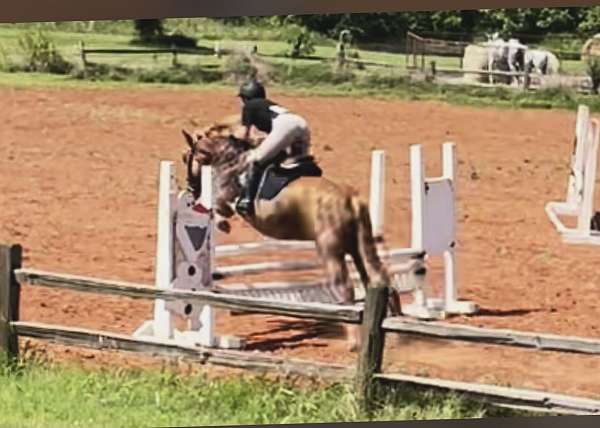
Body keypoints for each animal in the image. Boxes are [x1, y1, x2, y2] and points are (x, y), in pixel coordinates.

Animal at [178, 120, 404, 352]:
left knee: (346, 288)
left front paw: (222, 224)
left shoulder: (225, 201)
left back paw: (354, 341)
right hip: (358, 247)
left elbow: (214, 207)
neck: (229, 158)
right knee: (378, 278)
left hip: (329, 250)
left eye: (186, 157)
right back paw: (394, 332)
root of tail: (351, 198)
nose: (190, 188)